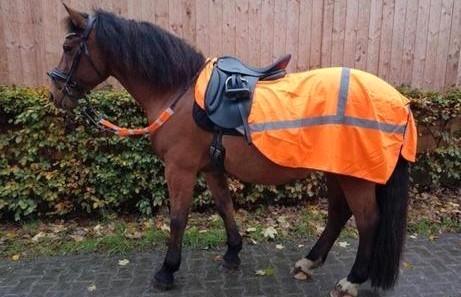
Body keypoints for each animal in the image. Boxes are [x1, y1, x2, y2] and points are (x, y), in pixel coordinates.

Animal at [48, 5, 412, 294]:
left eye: (68, 46)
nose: (55, 94)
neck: (178, 93)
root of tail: (399, 101)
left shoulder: (179, 170)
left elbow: (178, 219)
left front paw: (167, 271)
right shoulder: (211, 168)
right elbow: (225, 207)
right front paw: (233, 253)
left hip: (356, 178)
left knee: (367, 221)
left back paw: (351, 281)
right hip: (338, 170)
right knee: (338, 214)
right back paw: (308, 263)